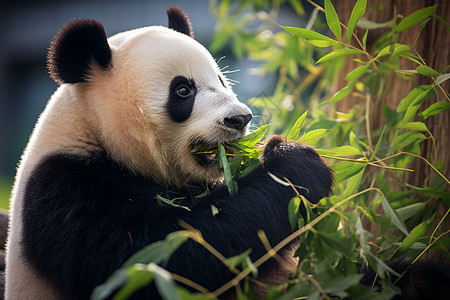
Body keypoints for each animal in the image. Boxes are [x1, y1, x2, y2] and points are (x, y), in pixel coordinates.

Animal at [4, 7, 334, 300]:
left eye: (221, 81)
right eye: (183, 90)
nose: (240, 119)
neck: (93, 130)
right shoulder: (67, 191)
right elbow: (161, 256)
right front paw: (295, 164)